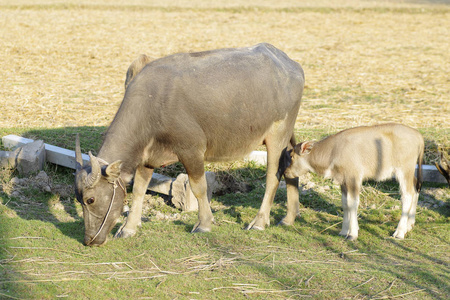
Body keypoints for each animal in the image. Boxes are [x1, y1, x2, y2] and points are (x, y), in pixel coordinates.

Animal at [74, 42, 306, 246]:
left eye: (90, 199)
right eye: (79, 200)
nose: (89, 240)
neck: (154, 102)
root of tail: (291, 64)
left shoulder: (191, 150)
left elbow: (199, 188)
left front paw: (204, 223)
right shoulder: (147, 157)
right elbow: (139, 189)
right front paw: (128, 228)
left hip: (277, 134)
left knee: (273, 177)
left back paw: (259, 221)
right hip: (287, 135)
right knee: (291, 166)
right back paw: (289, 218)